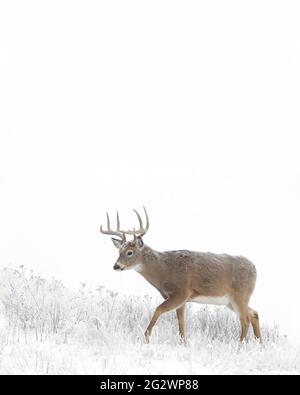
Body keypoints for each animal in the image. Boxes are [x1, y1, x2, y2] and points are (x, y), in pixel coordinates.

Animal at [100, 207, 260, 344]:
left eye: (130, 252)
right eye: (119, 251)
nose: (116, 266)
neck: (163, 270)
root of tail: (255, 268)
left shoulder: (182, 292)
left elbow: (158, 309)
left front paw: (146, 337)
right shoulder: (181, 300)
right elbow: (181, 326)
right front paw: (184, 344)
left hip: (239, 295)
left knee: (245, 320)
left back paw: (239, 346)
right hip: (231, 301)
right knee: (254, 313)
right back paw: (260, 344)